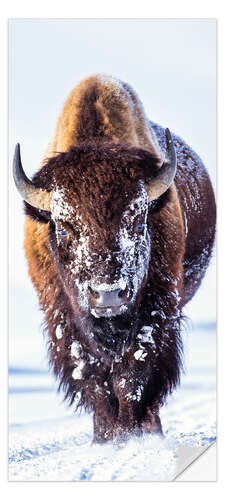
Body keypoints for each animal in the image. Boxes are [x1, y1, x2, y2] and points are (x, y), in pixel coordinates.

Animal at [12, 74, 216, 442]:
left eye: (137, 222)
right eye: (64, 228)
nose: (107, 295)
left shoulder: (156, 310)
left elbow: (133, 373)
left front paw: (131, 433)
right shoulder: (63, 318)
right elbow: (92, 377)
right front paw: (106, 436)